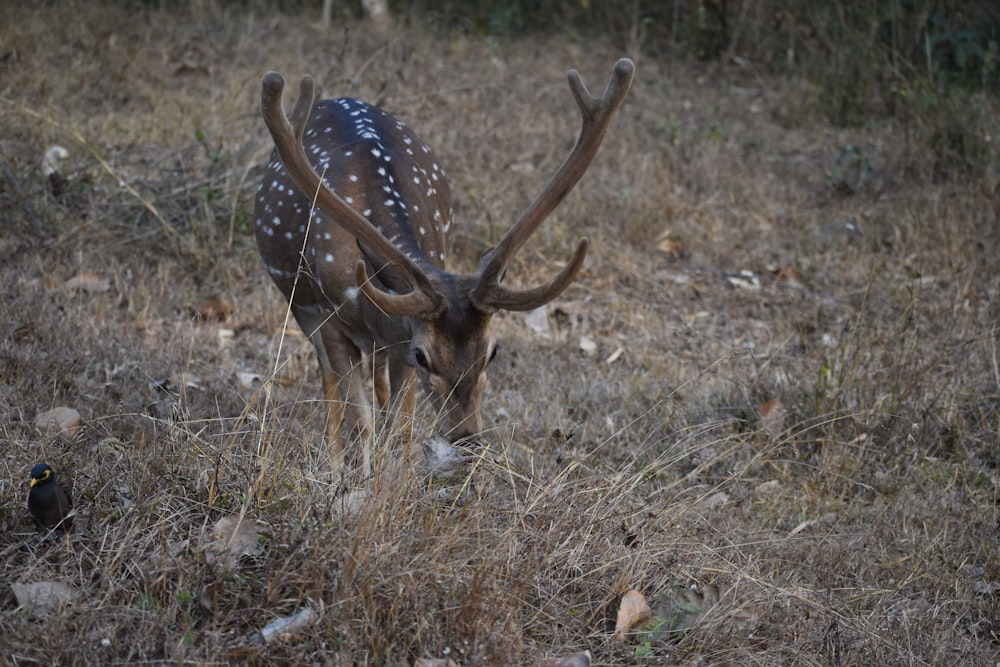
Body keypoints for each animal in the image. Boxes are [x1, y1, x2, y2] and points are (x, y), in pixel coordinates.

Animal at [254, 60, 636, 472]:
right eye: (424, 356)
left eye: (491, 351)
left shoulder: (399, 337)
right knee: (330, 383)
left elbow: (399, 427)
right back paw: (334, 463)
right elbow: (361, 422)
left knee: (378, 381)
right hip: (301, 307)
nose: (466, 438)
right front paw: (352, 481)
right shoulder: (334, 319)